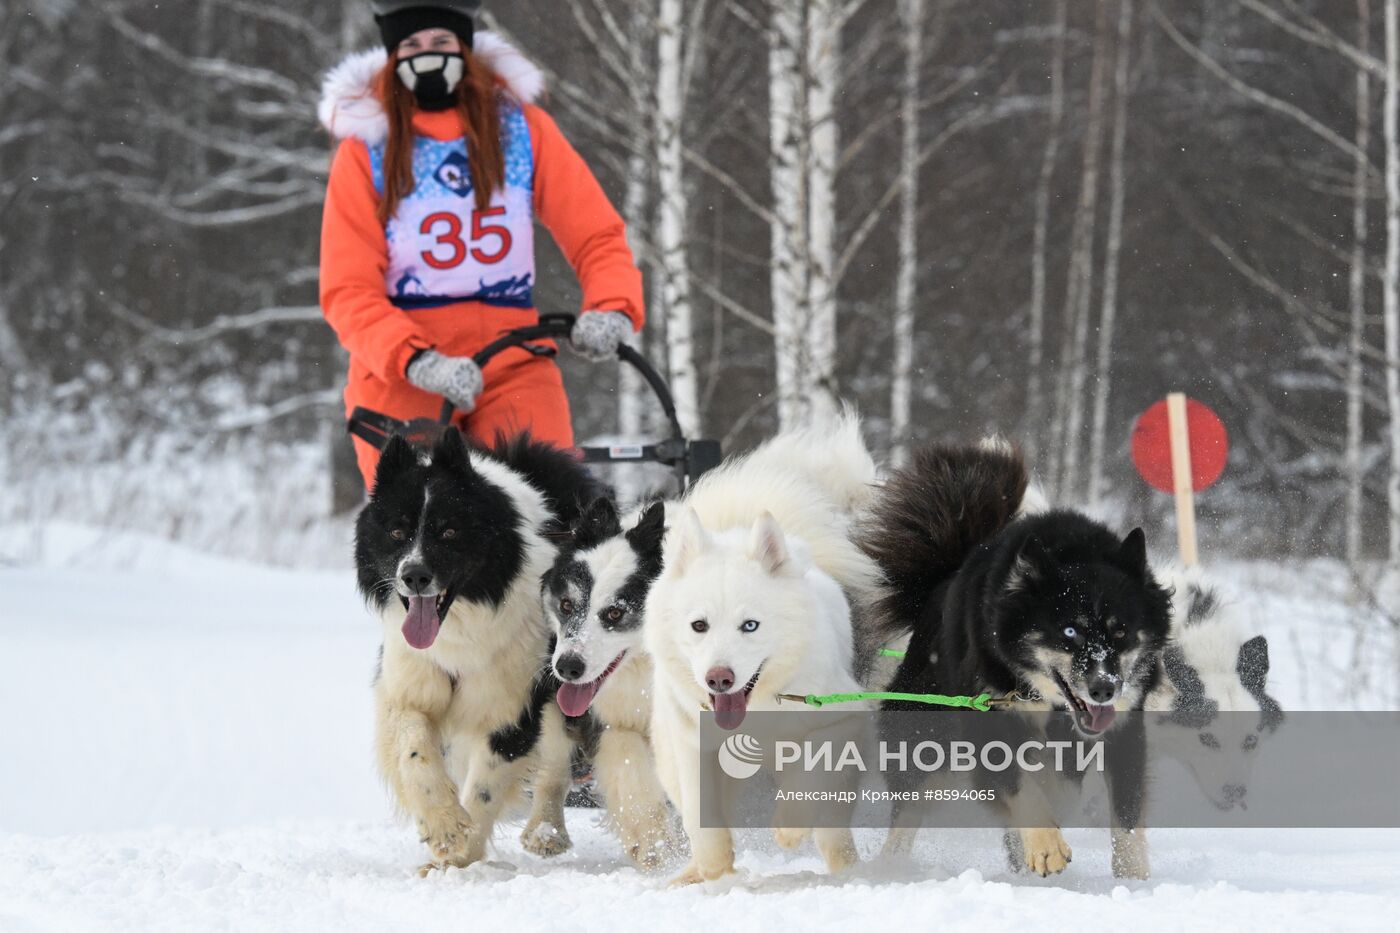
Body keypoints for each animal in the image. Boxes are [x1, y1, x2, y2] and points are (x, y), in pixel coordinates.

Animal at [352, 425, 604, 868]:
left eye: (449, 531)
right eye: (397, 532)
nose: (414, 576)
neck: (460, 623)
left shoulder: (511, 707)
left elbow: (485, 789)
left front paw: (459, 857)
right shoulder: (409, 687)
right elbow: (414, 750)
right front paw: (443, 825)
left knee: (556, 759)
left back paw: (546, 832)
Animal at [862, 439, 1170, 874]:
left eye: (1121, 630)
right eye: (1070, 632)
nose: (1104, 689)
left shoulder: (1124, 728)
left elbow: (1124, 813)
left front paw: (1134, 877)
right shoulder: (988, 716)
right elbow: (1021, 784)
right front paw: (1045, 844)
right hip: (925, 734)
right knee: (907, 811)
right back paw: (891, 866)